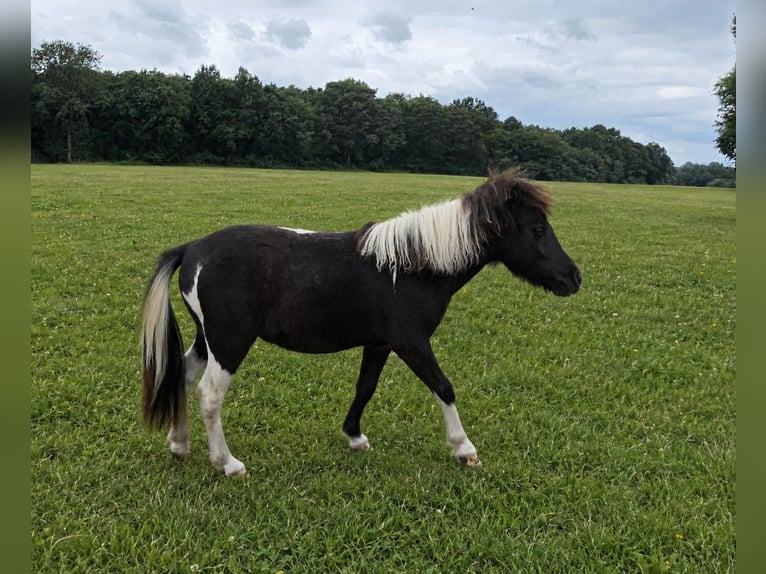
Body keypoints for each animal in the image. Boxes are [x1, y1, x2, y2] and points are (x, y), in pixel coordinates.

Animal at [141, 170, 581, 476]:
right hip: (230, 343)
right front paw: (464, 449)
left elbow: (365, 387)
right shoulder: (411, 342)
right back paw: (228, 463)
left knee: (182, 376)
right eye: (537, 228)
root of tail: (192, 249)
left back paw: (179, 445)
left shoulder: (380, 343)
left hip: (208, 340)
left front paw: (355, 436)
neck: (410, 266)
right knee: (209, 395)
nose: (573, 278)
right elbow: (443, 387)